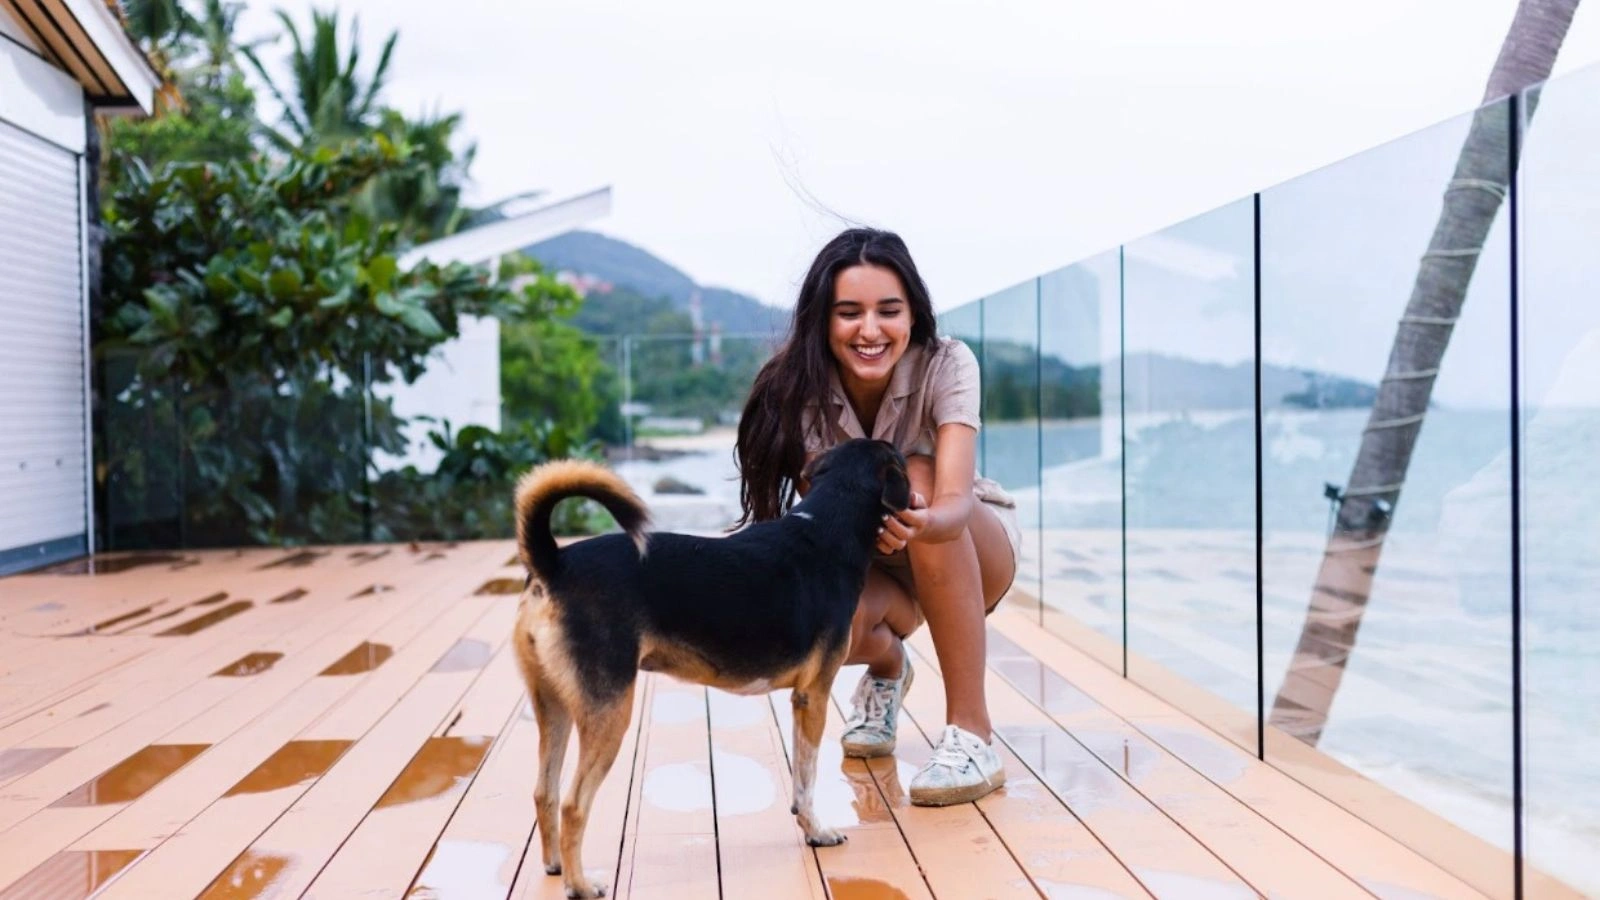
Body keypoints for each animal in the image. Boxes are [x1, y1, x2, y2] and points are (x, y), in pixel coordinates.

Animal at [510, 438, 911, 898]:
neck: (828, 527)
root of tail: (554, 565)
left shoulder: (799, 700)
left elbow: (799, 774)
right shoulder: (815, 695)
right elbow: (808, 776)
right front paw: (817, 831)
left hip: (552, 705)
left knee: (544, 793)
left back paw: (555, 865)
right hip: (608, 712)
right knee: (574, 804)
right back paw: (580, 884)